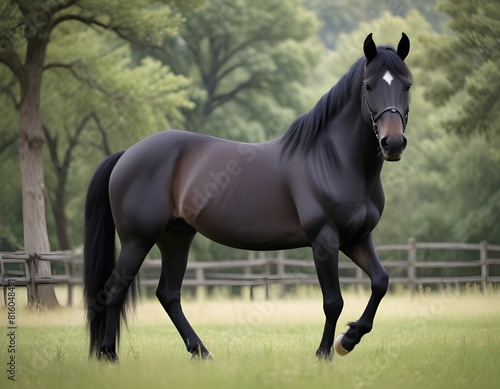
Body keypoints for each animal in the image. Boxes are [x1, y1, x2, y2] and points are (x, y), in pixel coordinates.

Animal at [83, 32, 410, 360]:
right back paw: (110, 354)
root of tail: (127, 154)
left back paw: (201, 352)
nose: (392, 143)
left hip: (175, 237)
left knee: (168, 294)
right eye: (368, 85)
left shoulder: (357, 238)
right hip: (137, 239)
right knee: (114, 290)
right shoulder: (325, 239)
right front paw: (325, 353)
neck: (334, 159)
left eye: (407, 84)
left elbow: (381, 282)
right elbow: (333, 302)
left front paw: (349, 339)